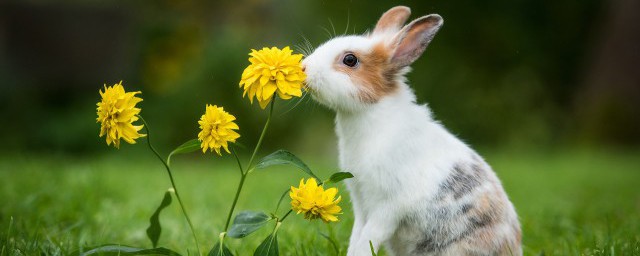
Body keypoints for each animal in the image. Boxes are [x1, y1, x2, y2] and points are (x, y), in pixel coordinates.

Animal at [302, 6, 524, 256]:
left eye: (350, 59)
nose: (304, 67)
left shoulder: (386, 207)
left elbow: (367, 240)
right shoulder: (361, 203)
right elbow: (356, 238)